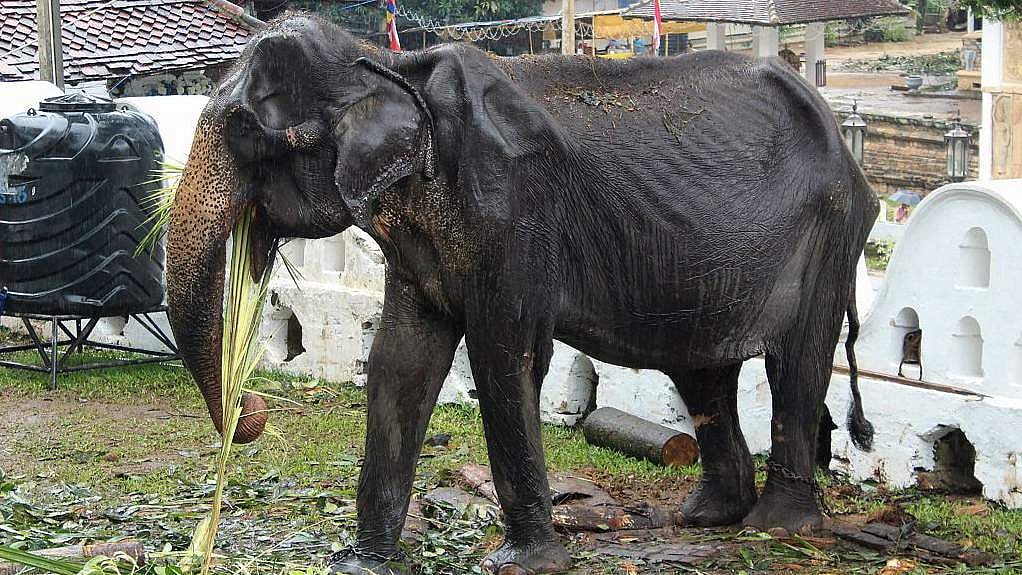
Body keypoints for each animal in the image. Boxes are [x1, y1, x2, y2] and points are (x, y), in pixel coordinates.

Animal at [166, 14, 878, 575]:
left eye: (248, 135)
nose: (253, 407)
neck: (388, 67)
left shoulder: (513, 213)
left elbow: (505, 357)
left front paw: (522, 563)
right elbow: (400, 361)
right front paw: (361, 565)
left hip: (829, 236)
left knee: (796, 363)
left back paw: (777, 527)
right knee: (703, 371)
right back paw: (708, 518)